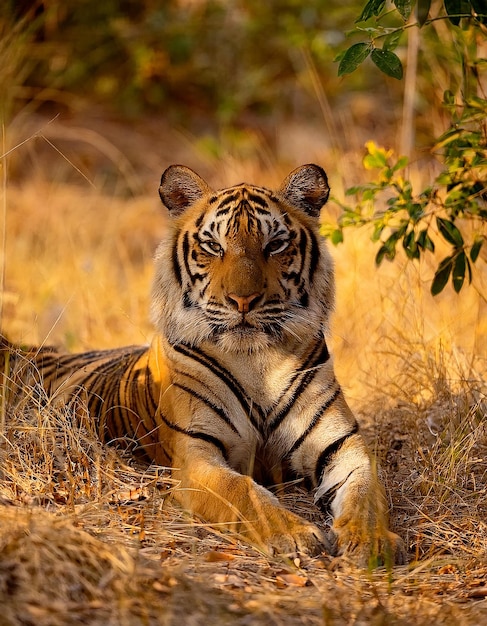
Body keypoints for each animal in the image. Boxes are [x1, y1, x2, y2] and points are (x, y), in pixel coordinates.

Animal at [0, 163, 404, 564]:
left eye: (275, 244)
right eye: (213, 246)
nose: (243, 300)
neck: (256, 361)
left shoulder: (345, 447)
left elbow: (366, 495)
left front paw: (372, 543)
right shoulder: (196, 455)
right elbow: (244, 491)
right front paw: (294, 535)